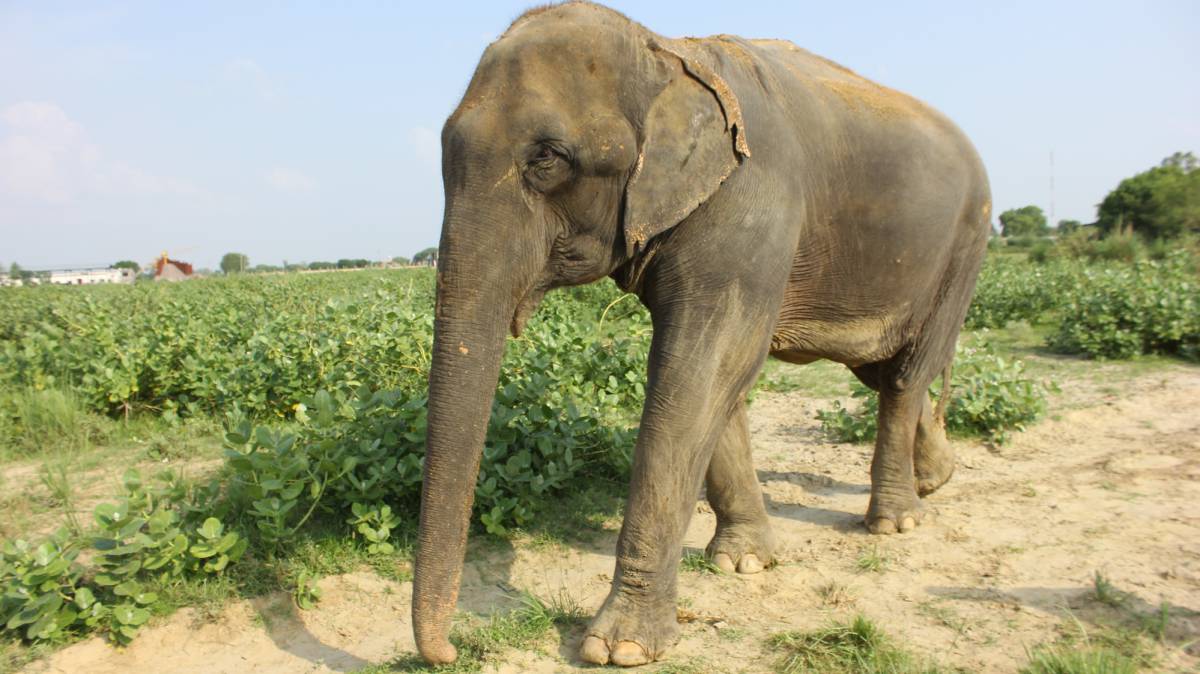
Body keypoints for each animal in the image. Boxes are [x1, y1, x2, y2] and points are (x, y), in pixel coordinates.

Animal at [414, 1, 990, 667]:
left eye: (548, 158)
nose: (451, 650)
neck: (664, 49)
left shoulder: (751, 199)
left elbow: (699, 366)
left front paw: (621, 648)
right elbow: (717, 377)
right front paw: (743, 562)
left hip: (965, 247)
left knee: (903, 375)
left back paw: (895, 522)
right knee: (883, 370)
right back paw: (935, 478)